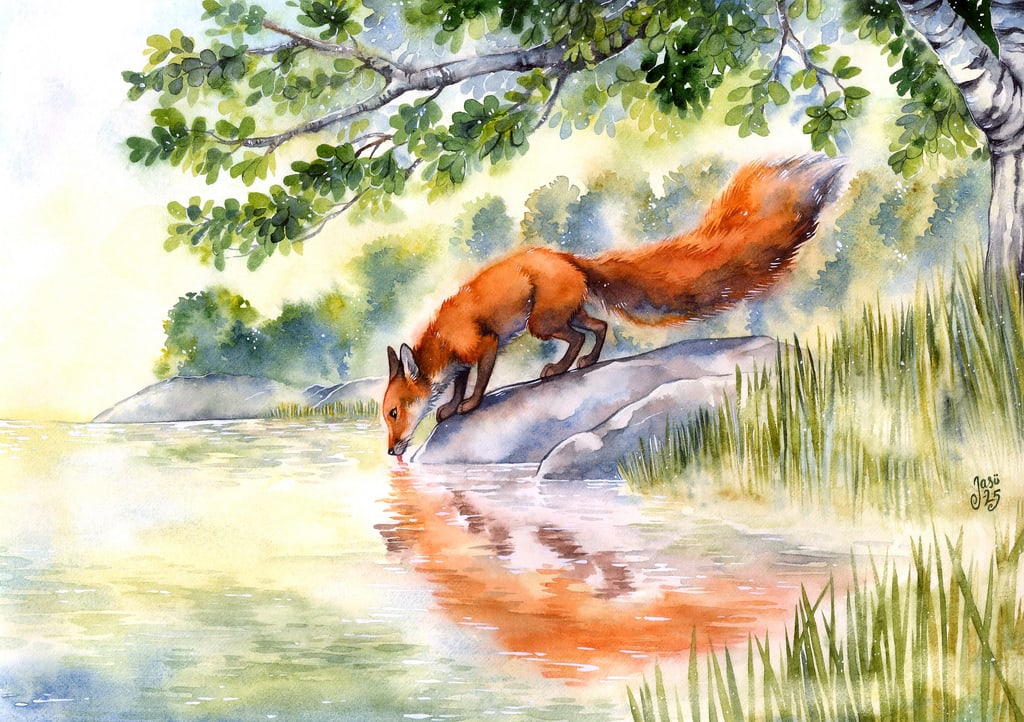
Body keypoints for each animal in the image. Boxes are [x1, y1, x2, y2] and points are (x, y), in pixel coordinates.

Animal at [383, 154, 845, 458]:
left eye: (392, 412)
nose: (390, 452)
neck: (442, 341)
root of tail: (570, 259)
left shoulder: (485, 345)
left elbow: (477, 384)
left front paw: (469, 406)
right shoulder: (463, 360)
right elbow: (458, 385)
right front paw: (448, 408)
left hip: (541, 322)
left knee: (578, 336)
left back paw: (561, 369)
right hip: (562, 315)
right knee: (601, 327)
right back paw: (583, 365)